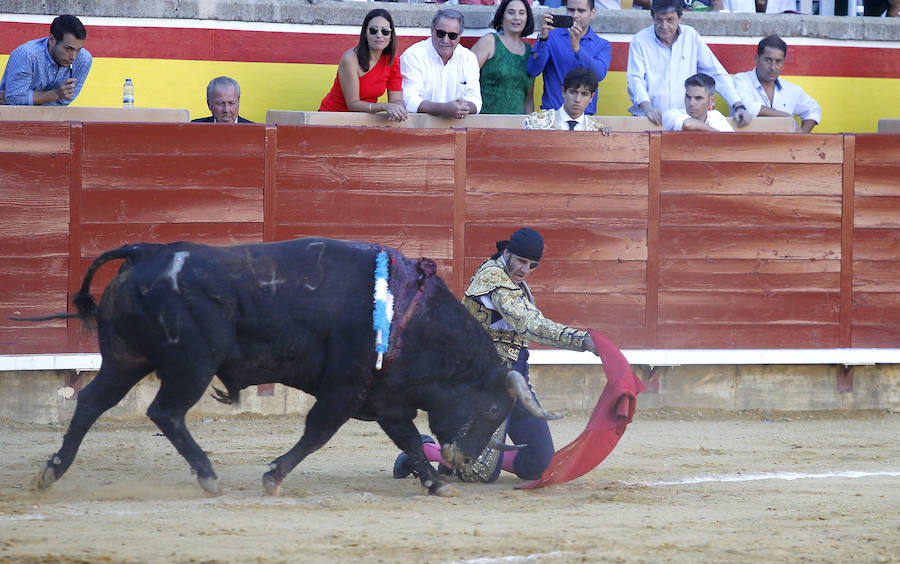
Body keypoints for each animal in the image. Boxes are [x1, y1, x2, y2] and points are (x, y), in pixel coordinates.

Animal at [21, 240, 556, 496]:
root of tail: (145, 253)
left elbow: (406, 439)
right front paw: (273, 477)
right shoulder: (345, 390)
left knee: (91, 403)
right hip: (191, 365)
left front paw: (436, 482)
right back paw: (208, 476)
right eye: (494, 409)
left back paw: (52, 470)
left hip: (125, 359)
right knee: (165, 413)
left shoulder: (386, 399)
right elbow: (318, 432)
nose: (464, 460)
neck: (407, 316)